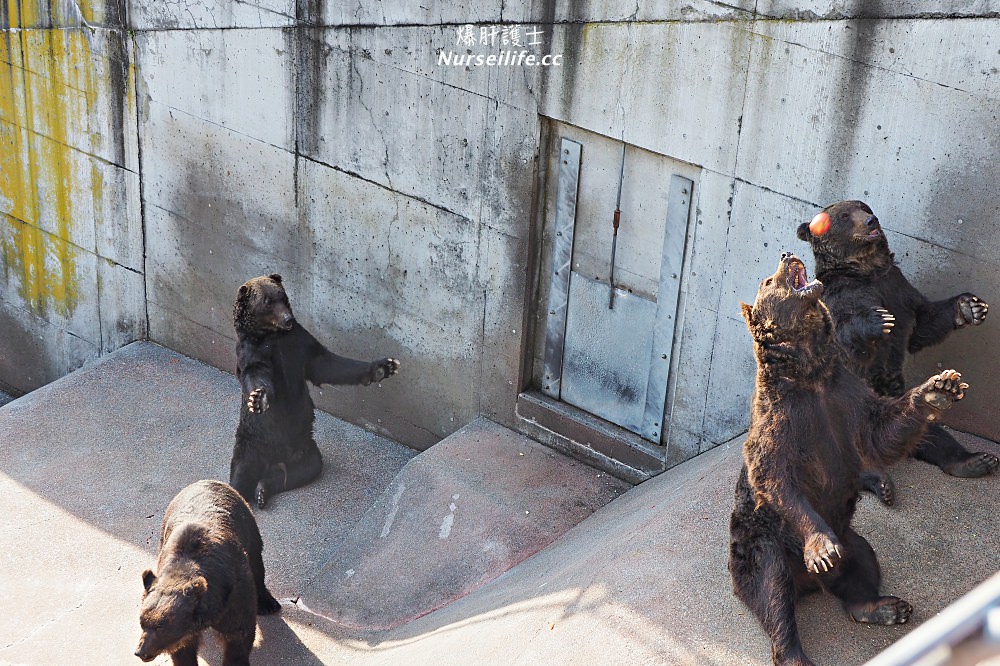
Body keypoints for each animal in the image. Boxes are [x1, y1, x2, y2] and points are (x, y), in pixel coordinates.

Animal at [133, 480, 282, 660]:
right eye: (142, 621)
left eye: (161, 626)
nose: (140, 652)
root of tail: (206, 481)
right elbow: (183, 651)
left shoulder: (234, 595)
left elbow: (239, 635)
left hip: (248, 526)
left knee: (257, 563)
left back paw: (268, 603)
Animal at [229, 272, 398, 506]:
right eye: (267, 301)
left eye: (282, 296)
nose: (288, 319)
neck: (273, 335)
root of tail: (275, 458)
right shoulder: (253, 350)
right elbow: (256, 373)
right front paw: (258, 398)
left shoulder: (299, 341)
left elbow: (325, 364)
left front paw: (383, 367)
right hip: (251, 442)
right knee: (241, 472)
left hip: (305, 446)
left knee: (307, 468)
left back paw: (264, 488)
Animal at [728, 250, 968, 664]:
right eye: (767, 282)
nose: (786, 254)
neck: (810, 374)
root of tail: (808, 583)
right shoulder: (780, 419)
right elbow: (774, 476)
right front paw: (822, 549)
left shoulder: (845, 397)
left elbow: (881, 431)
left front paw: (939, 389)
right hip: (761, 544)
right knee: (772, 591)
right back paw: (793, 650)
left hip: (852, 538)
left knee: (862, 566)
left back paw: (882, 607)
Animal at [796, 198, 992, 504]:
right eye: (844, 215)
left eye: (864, 207)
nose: (871, 220)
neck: (868, 270)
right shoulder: (844, 294)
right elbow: (847, 332)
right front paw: (878, 321)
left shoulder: (899, 287)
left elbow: (924, 324)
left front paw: (969, 307)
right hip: (842, 412)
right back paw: (878, 480)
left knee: (932, 433)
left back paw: (973, 460)